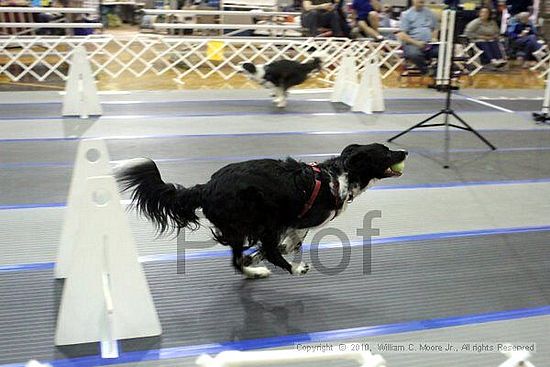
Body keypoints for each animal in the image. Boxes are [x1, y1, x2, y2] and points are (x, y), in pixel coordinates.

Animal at [117, 143, 410, 278]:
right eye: (386, 153)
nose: (404, 151)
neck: (340, 176)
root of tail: (207, 187)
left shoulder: (289, 224)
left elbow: (283, 245)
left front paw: (256, 257)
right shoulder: (295, 221)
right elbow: (286, 245)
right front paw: (278, 258)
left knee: (240, 258)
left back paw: (255, 267)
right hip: (254, 218)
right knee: (247, 257)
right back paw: (287, 270)